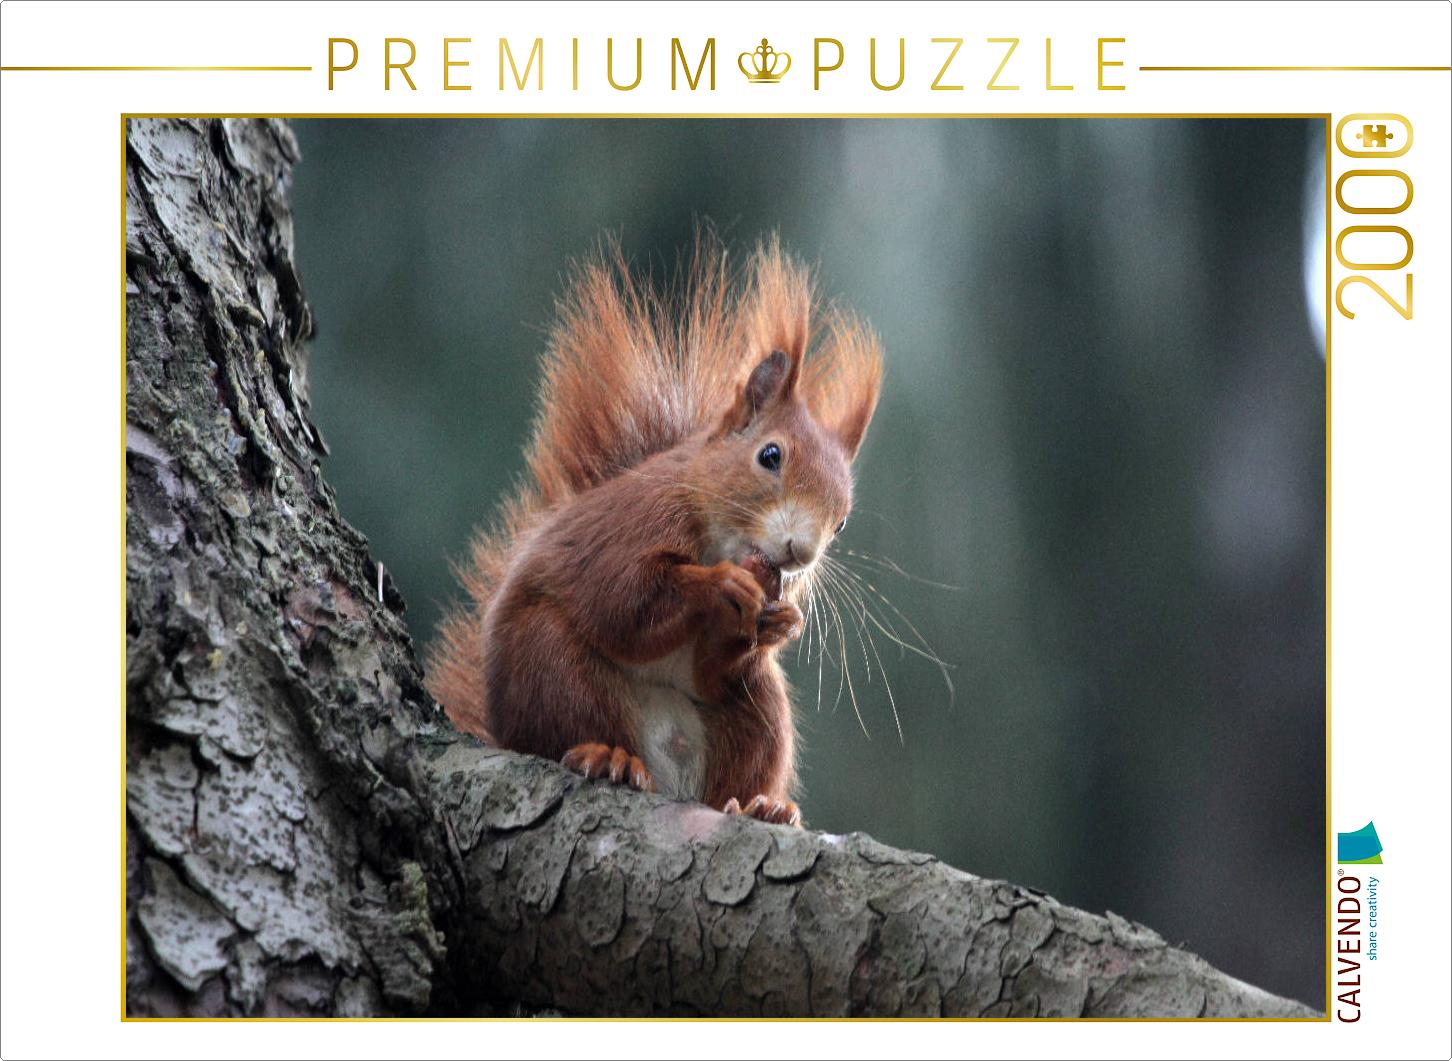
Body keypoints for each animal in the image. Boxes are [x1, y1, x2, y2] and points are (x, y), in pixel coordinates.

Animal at [426, 235, 882, 827]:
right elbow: (623, 600)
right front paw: (717, 585)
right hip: (549, 664)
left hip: (759, 711)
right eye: (770, 455)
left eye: (842, 520)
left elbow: (714, 670)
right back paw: (608, 757)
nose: (799, 553)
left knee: (739, 748)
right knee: (567, 724)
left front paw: (782, 623)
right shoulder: (634, 523)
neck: (718, 535)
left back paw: (759, 807)